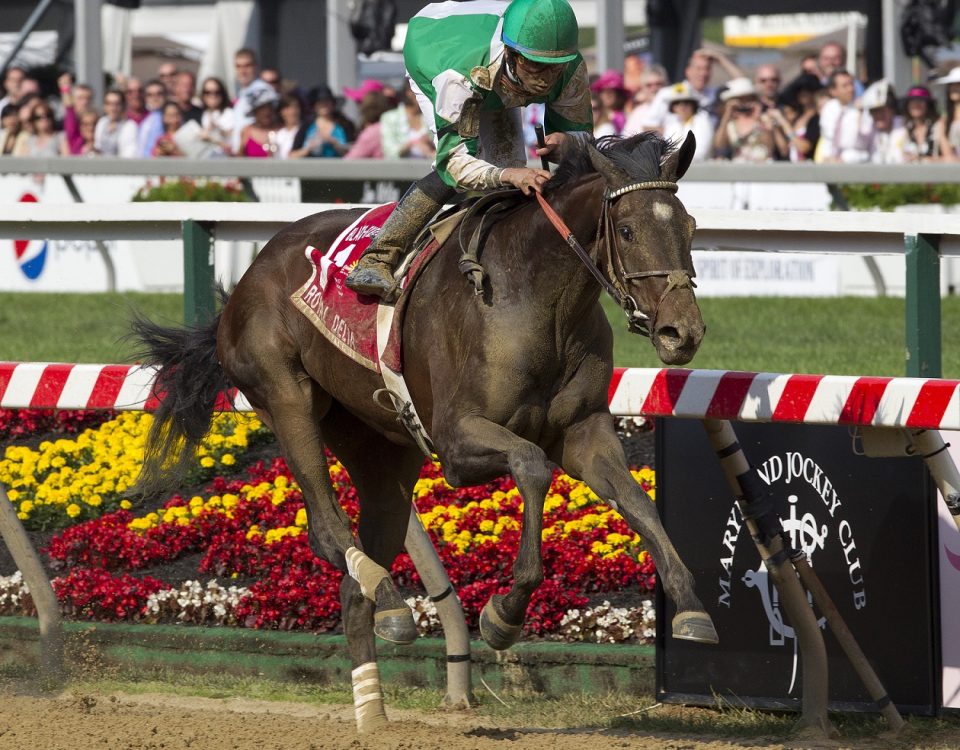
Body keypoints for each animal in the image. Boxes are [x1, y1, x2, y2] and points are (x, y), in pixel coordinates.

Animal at [137, 131, 720, 736]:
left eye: (690, 225)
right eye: (626, 229)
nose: (682, 332)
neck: (538, 299)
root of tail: (244, 281)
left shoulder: (584, 433)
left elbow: (640, 503)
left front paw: (691, 608)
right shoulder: (458, 442)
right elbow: (532, 466)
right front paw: (504, 614)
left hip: (379, 452)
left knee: (357, 576)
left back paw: (372, 700)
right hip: (285, 394)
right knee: (325, 525)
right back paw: (392, 601)